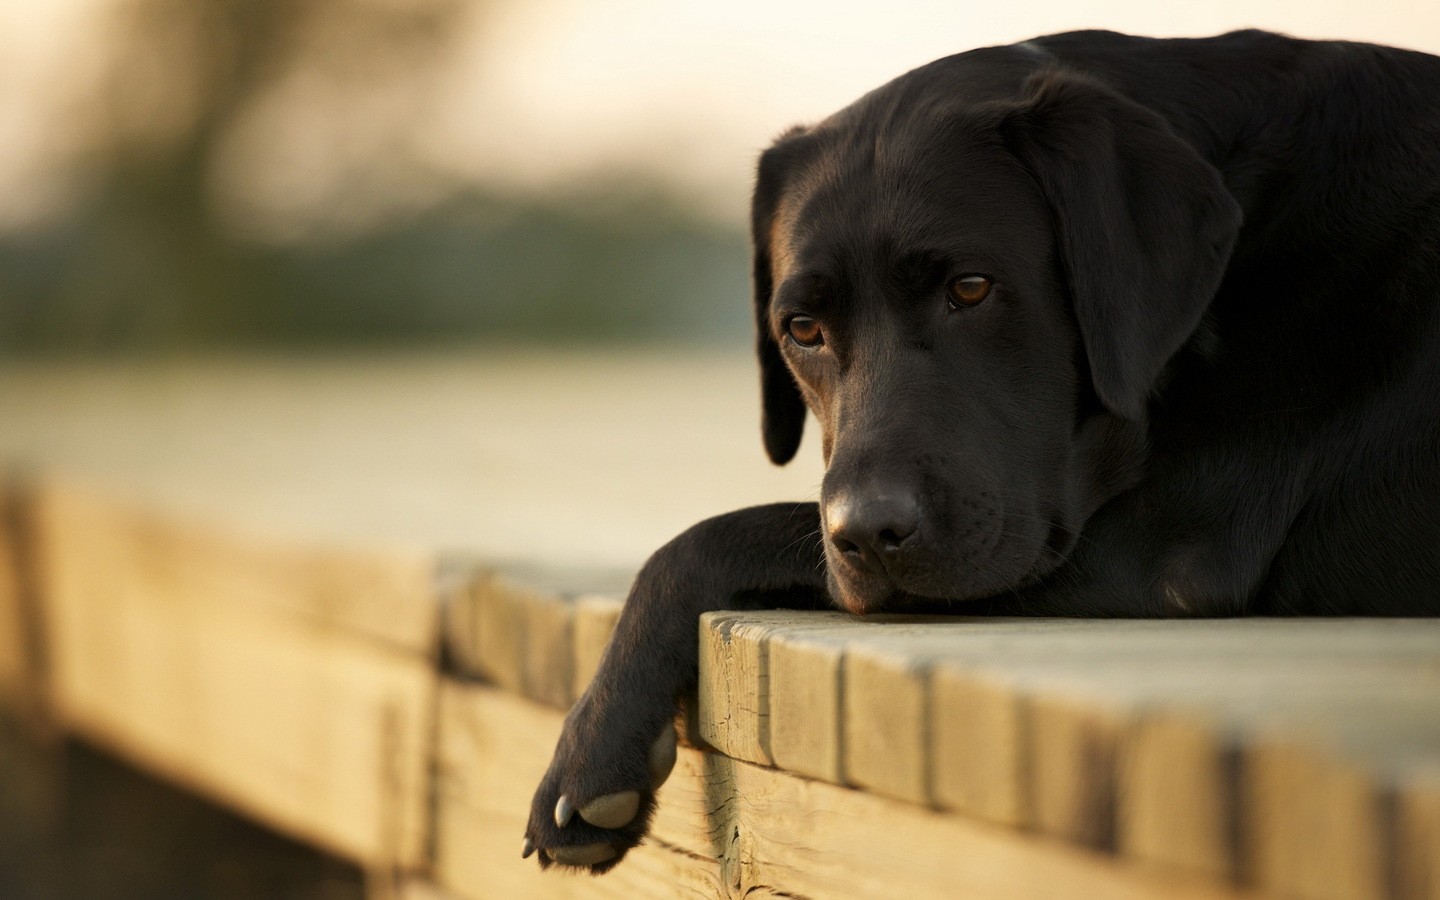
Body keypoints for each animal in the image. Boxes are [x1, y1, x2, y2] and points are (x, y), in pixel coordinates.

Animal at [524, 29, 1434, 869]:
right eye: (802, 328)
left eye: (971, 287)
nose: (866, 534)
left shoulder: (1163, 547)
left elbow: (706, 535)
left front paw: (591, 749)